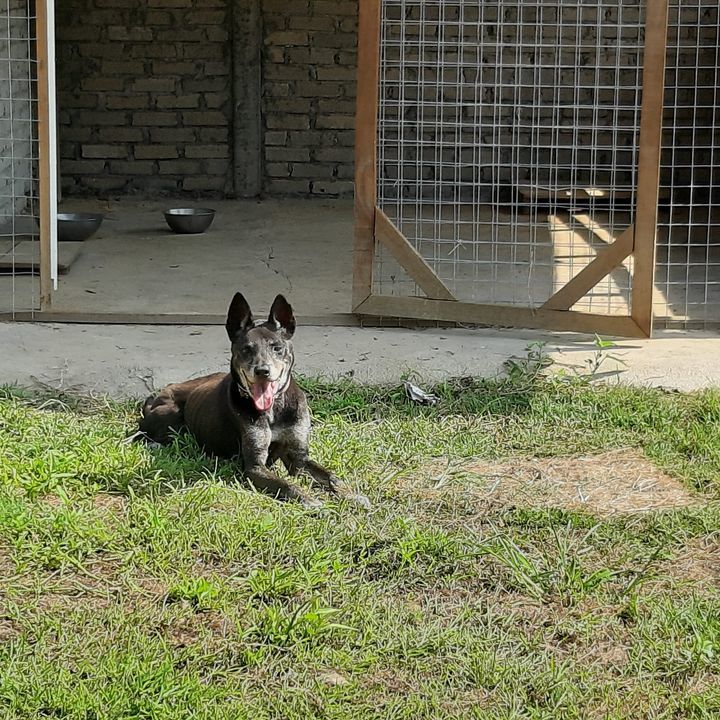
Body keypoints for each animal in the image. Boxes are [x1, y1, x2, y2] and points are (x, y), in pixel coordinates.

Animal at [137, 290, 368, 510]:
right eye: (246, 349)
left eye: (277, 347)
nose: (262, 371)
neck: (275, 408)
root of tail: (160, 393)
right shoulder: (255, 466)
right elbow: (286, 484)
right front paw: (310, 502)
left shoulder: (299, 459)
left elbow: (331, 475)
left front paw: (352, 495)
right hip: (169, 413)